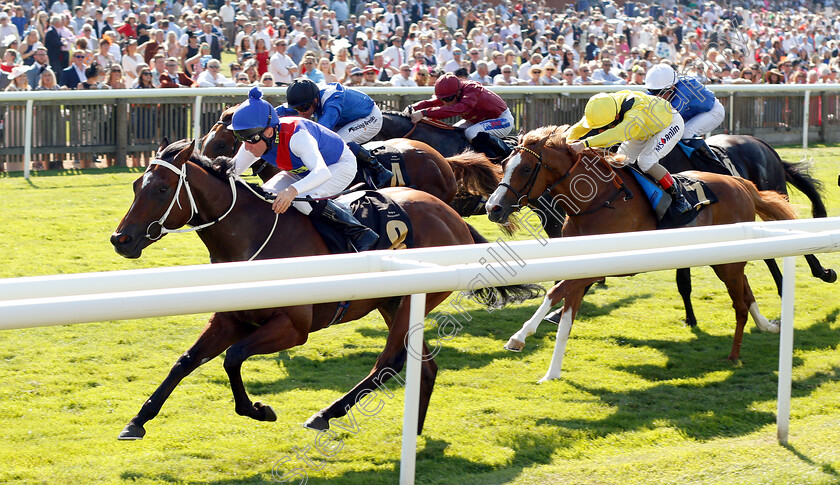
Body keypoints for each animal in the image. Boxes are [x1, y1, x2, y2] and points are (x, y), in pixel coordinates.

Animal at [110, 139, 544, 438]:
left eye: (161, 190)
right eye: (134, 185)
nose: (121, 240)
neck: (253, 237)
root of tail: (451, 214)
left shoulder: (293, 327)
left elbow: (232, 358)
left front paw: (259, 409)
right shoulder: (230, 318)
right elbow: (185, 361)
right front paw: (137, 421)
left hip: (409, 302)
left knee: (387, 364)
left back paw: (324, 415)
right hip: (391, 301)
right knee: (423, 365)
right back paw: (415, 430)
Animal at [482, 125, 796, 382]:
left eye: (525, 169)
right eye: (504, 164)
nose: (493, 208)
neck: (598, 201)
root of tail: (741, 184)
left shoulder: (601, 266)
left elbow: (555, 291)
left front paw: (519, 337)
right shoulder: (581, 265)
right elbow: (564, 312)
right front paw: (551, 372)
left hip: (728, 261)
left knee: (739, 302)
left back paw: (734, 355)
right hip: (725, 260)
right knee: (746, 291)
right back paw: (767, 326)